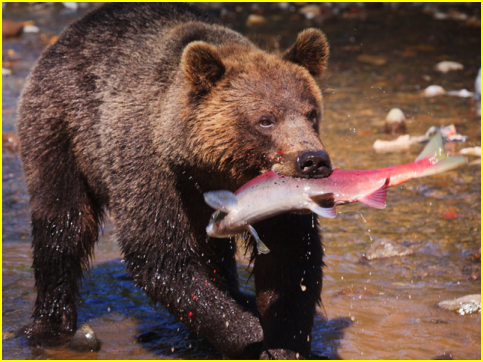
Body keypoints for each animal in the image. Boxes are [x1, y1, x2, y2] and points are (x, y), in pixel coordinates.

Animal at [16, 2, 332, 360]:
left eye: (311, 113)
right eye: (265, 120)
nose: (312, 160)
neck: (206, 165)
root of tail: (71, 32)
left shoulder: (270, 196)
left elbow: (290, 256)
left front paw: (284, 340)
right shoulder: (152, 170)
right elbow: (163, 256)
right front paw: (247, 331)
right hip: (59, 130)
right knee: (63, 223)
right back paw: (49, 324)